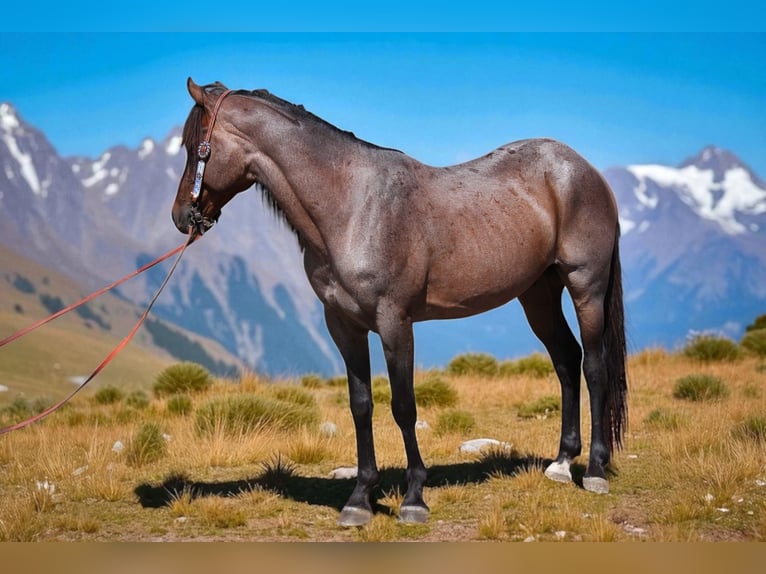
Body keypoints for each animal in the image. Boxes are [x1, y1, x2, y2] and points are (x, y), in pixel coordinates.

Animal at [172, 78, 628, 527]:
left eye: (195, 147)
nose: (180, 217)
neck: (352, 207)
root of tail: (583, 169)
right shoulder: (344, 326)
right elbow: (360, 405)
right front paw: (360, 498)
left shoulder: (395, 323)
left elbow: (404, 406)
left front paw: (413, 499)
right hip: (538, 294)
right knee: (566, 360)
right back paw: (561, 462)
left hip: (585, 286)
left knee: (593, 366)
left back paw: (595, 471)